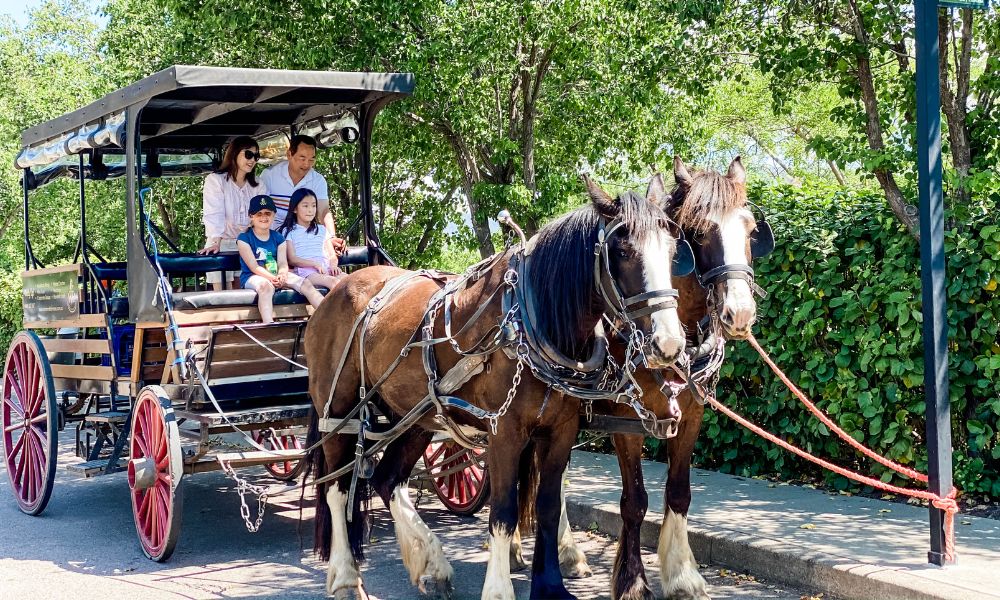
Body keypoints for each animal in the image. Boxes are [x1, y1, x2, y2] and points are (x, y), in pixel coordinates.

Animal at [304, 179, 692, 600]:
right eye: (622, 251)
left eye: (673, 251)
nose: (669, 345)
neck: (531, 320)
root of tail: (338, 289)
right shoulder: (504, 431)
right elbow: (503, 511)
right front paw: (500, 587)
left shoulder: (560, 430)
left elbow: (547, 505)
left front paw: (550, 584)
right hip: (338, 411)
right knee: (336, 487)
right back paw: (346, 576)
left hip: (415, 415)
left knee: (386, 480)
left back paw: (430, 564)